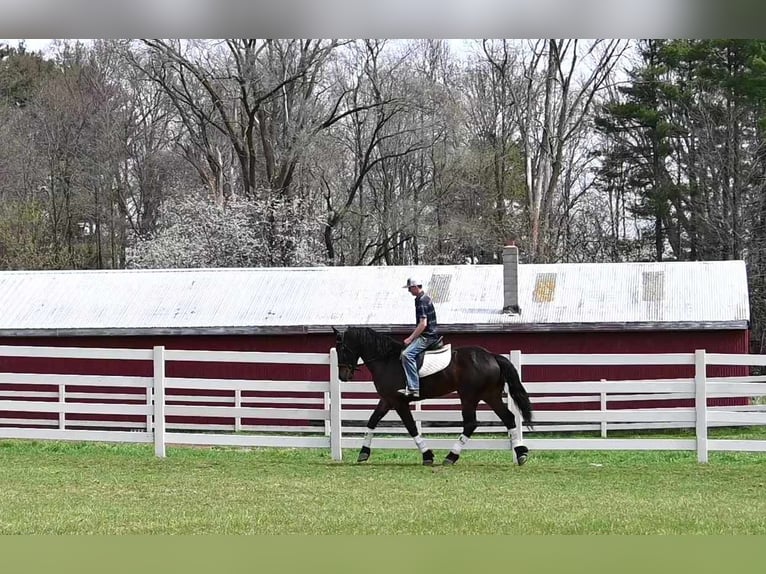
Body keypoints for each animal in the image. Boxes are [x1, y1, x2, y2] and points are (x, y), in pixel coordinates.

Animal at [336, 328, 536, 468]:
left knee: (471, 423)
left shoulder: (399, 402)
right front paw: (363, 453)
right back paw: (521, 454)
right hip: (490, 395)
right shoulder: (387, 400)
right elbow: (372, 421)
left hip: (469, 396)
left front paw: (427, 456)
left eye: (342, 349)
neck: (386, 360)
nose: (342, 376)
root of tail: (492, 356)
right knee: (508, 417)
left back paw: (451, 456)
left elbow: (410, 427)